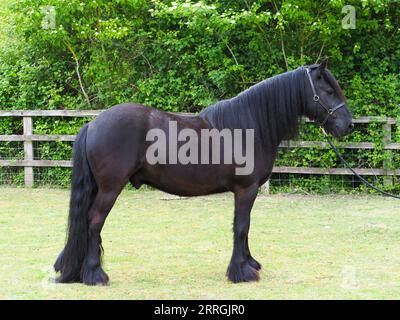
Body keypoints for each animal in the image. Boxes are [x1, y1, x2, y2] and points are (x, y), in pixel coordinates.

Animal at [54, 62, 354, 284]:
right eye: (328, 90)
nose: (348, 125)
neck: (250, 126)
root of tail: (93, 124)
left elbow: (244, 227)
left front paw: (250, 263)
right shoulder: (246, 190)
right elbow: (241, 226)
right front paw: (241, 272)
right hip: (110, 188)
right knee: (94, 221)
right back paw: (95, 275)